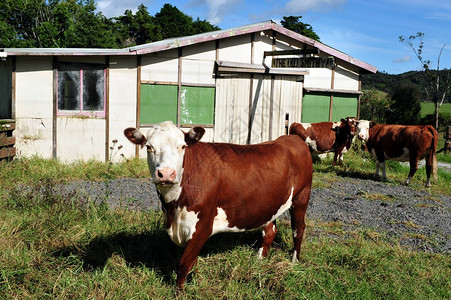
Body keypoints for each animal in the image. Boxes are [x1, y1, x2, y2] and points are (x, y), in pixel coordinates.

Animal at [123, 120, 314, 290]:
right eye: (149, 147)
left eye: (182, 146)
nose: (166, 173)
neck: (173, 208)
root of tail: (291, 138)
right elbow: (192, 261)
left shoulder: (202, 225)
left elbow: (184, 263)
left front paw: (179, 292)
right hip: (267, 204)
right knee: (269, 231)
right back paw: (259, 260)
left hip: (301, 196)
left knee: (298, 229)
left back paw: (294, 262)